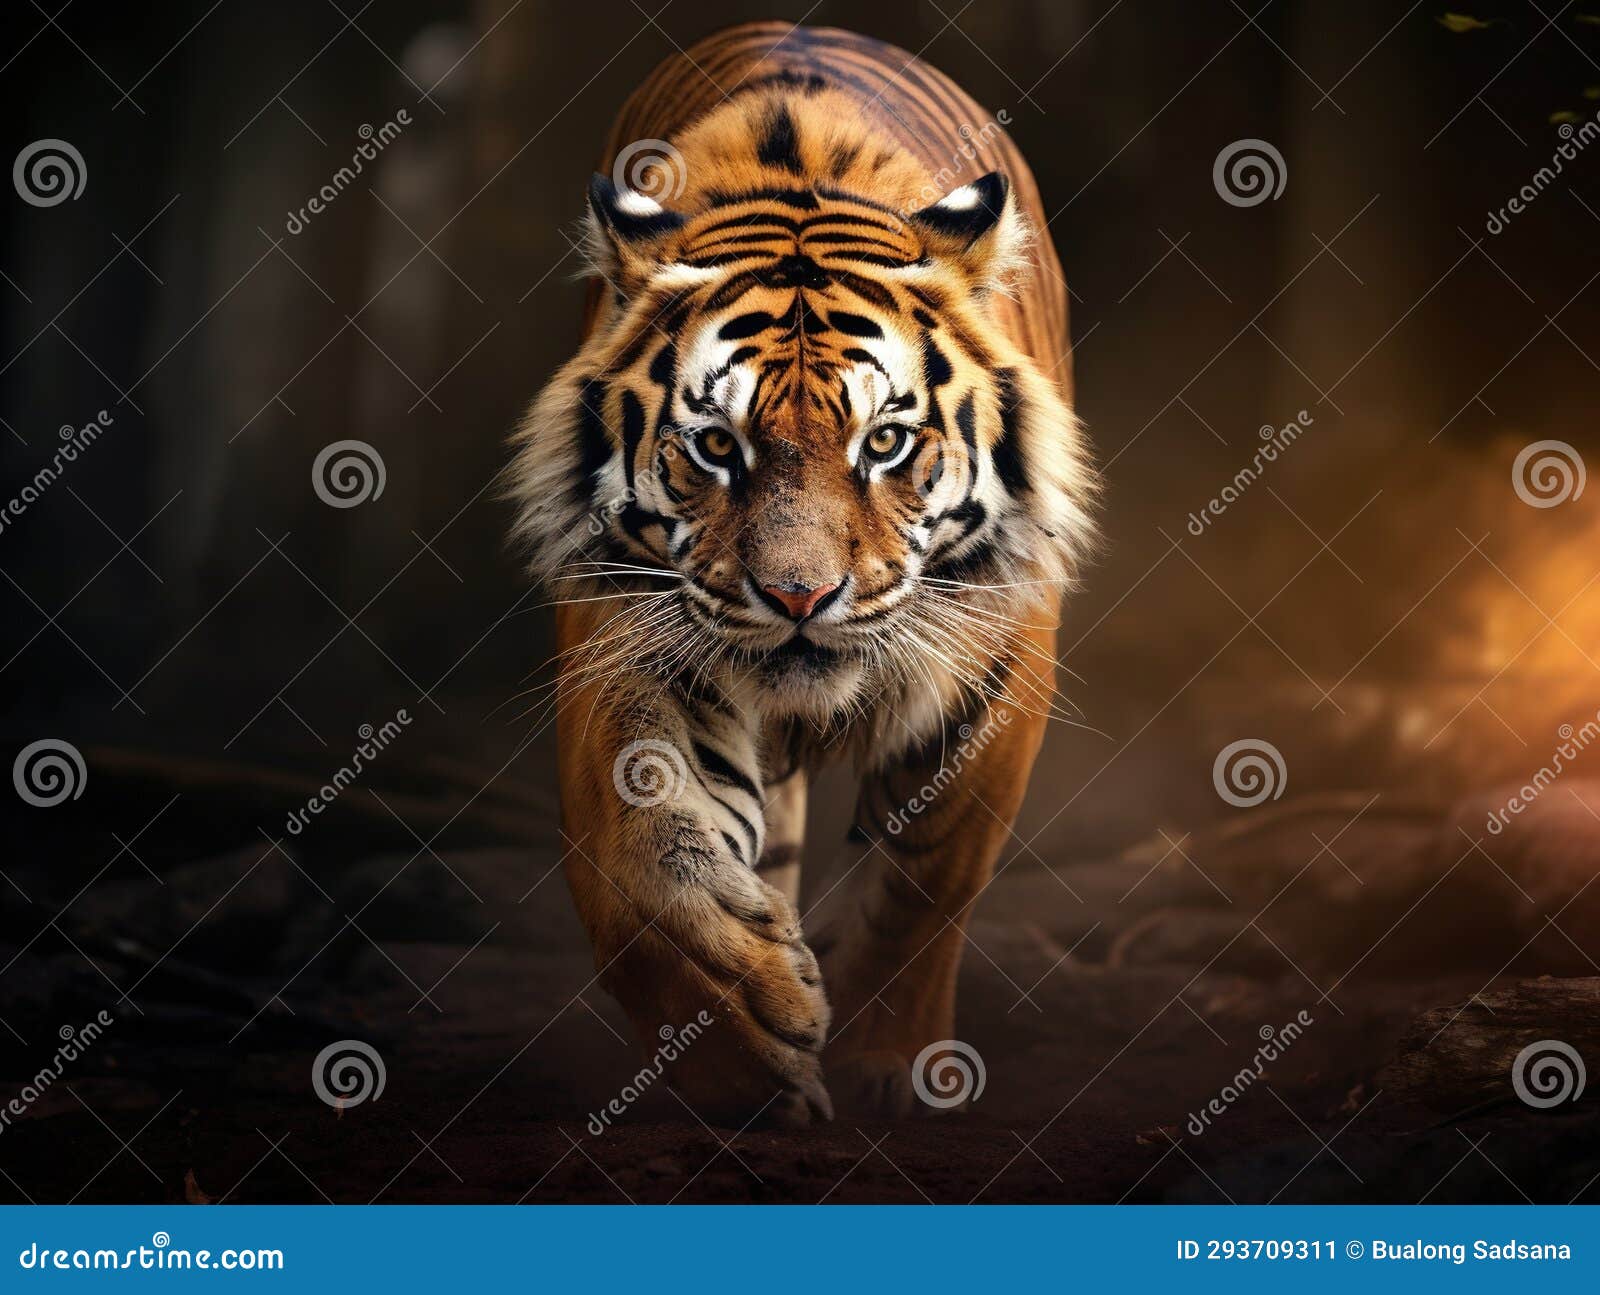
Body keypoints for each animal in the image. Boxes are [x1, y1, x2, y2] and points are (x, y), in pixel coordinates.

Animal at [507, 22, 1096, 1126]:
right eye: (714, 444)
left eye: (886, 440)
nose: (797, 598)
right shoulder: (624, 630)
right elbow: (635, 857)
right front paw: (746, 1042)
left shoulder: (1004, 646)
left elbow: (929, 871)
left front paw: (884, 1060)